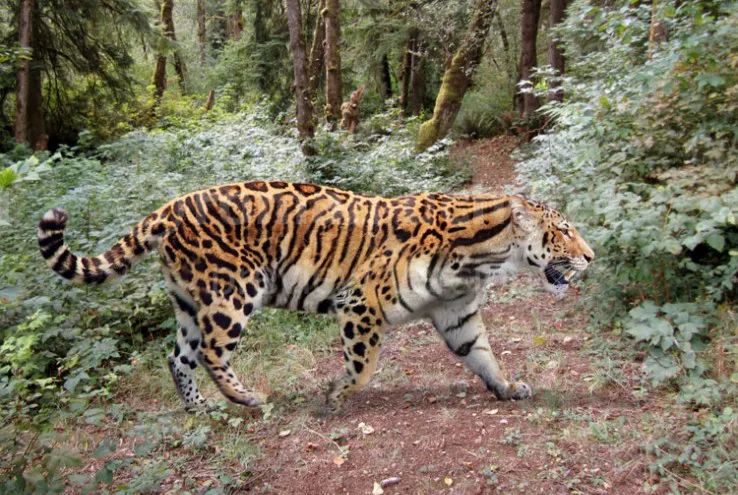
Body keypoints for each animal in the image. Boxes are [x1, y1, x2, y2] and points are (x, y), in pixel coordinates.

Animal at [37, 180, 594, 413]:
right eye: (565, 231)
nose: (591, 256)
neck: (483, 256)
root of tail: (171, 206)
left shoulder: (457, 314)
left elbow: (481, 354)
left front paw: (507, 387)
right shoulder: (362, 302)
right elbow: (363, 364)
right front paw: (334, 394)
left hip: (190, 303)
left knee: (178, 357)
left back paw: (200, 408)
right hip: (231, 292)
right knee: (214, 352)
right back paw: (246, 398)